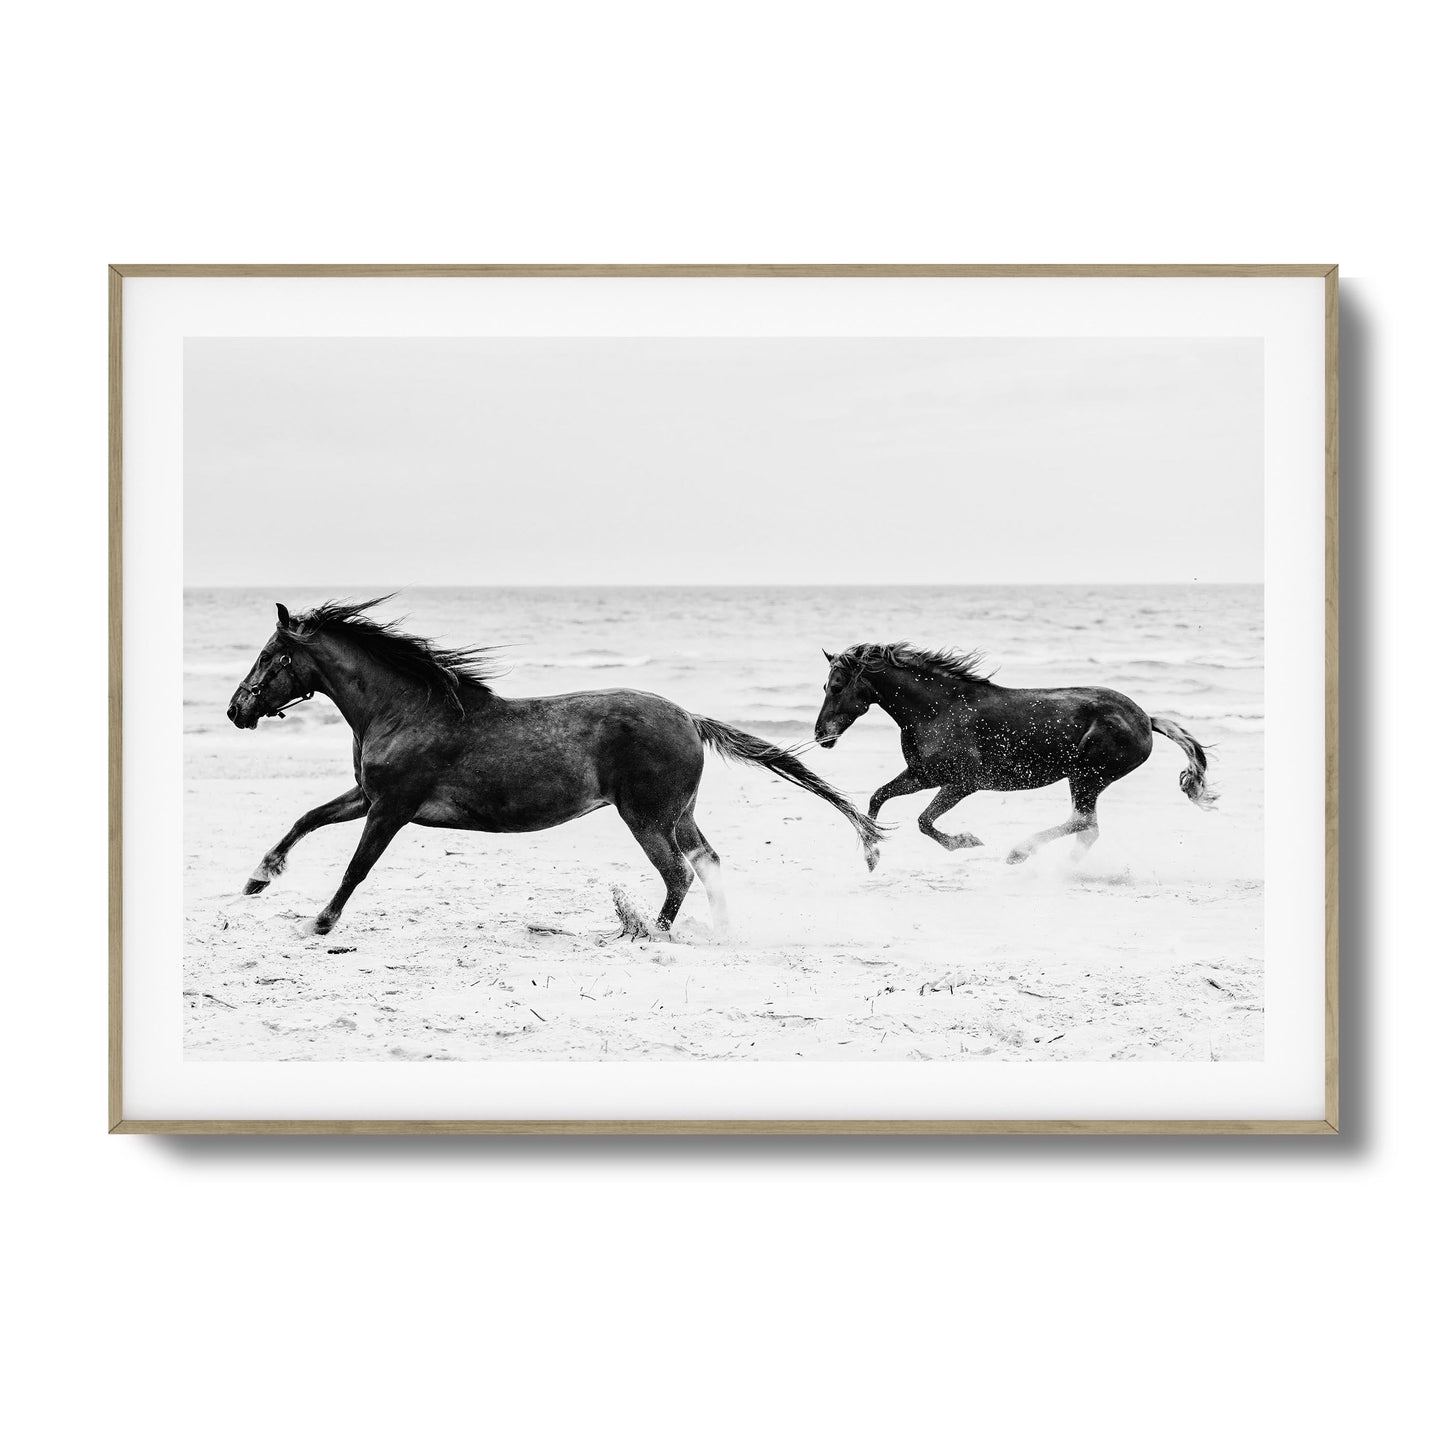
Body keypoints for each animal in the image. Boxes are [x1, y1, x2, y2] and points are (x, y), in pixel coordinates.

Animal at [226, 598, 883, 937]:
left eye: (270, 655)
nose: (235, 710)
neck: (406, 710)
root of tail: (690, 718)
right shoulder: (367, 796)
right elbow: (306, 818)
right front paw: (258, 879)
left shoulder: (392, 807)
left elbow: (357, 867)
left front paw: (320, 922)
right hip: (679, 814)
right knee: (708, 863)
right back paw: (718, 931)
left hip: (645, 817)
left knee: (678, 874)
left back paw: (651, 935)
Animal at [813, 642, 1217, 864]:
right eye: (826, 685)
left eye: (837, 685)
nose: (820, 735)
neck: (938, 709)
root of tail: (1146, 719)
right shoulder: (924, 775)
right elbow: (877, 798)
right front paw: (872, 855)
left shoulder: (962, 783)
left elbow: (924, 821)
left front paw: (967, 842)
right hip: (1086, 779)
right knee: (1087, 829)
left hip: (1087, 776)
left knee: (1083, 823)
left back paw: (1020, 854)